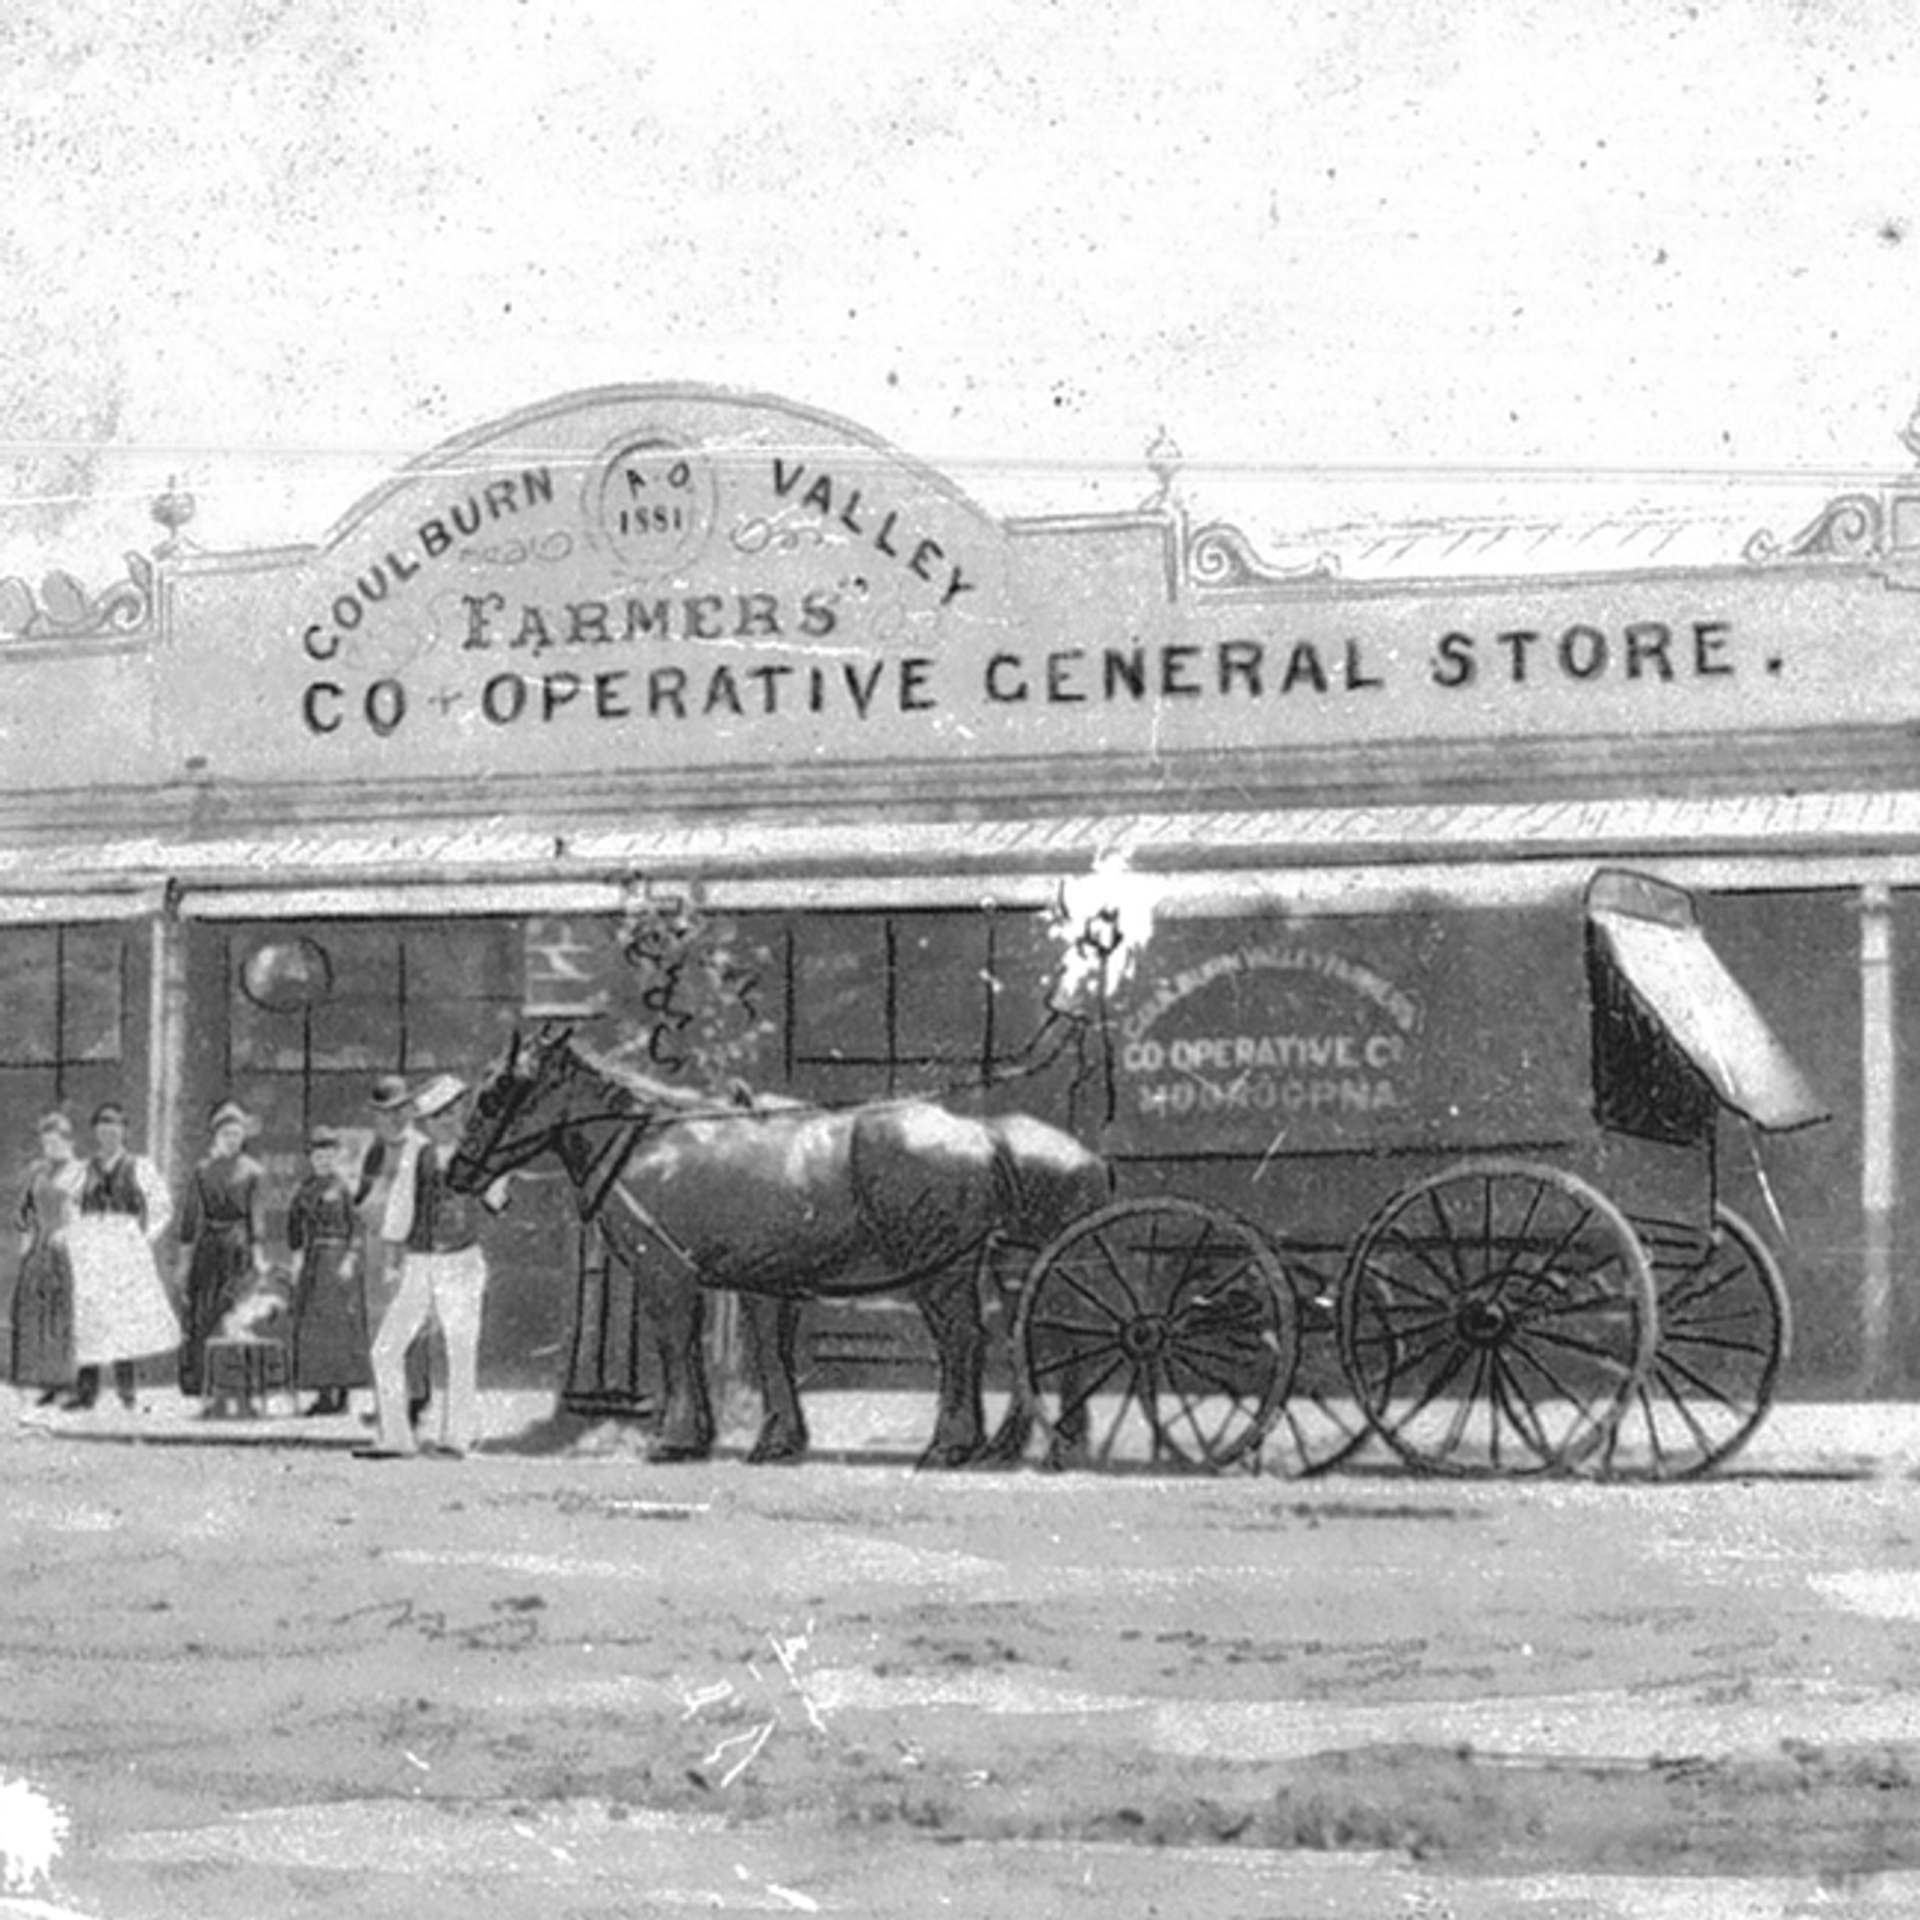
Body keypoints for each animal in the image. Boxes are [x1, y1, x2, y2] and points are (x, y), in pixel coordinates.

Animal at [443, 1036, 1113, 1466]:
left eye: (498, 1092)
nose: (458, 1172)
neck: (651, 1143)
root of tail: (984, 1134)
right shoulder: (764, 1281)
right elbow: (770, 1353)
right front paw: (775, 1440)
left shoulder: (666, 1273)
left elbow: (676, 1347)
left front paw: (677, 1438)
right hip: (1014, 1268)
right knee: (1040, 1339)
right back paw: (1031, 1444)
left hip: (943, 1271)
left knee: (964, 1341)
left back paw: (955, 1443)